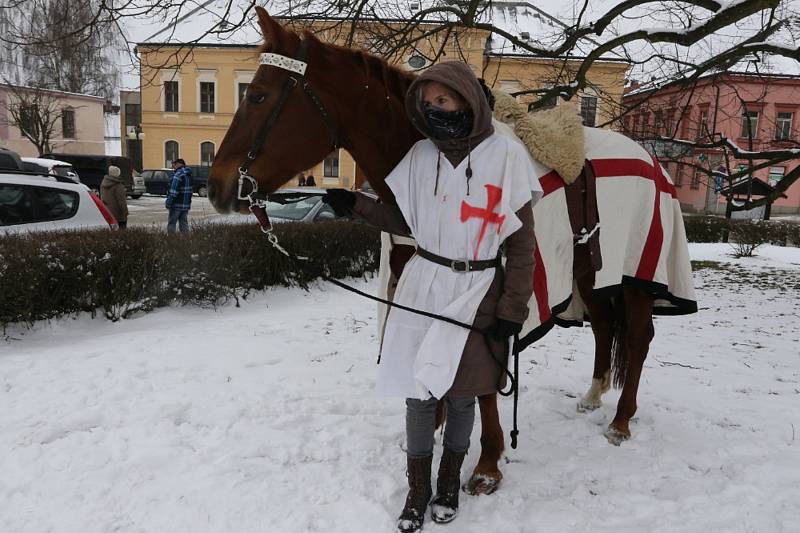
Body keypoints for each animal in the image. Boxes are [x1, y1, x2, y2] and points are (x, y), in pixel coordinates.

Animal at [211, 7, 688, 494]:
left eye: (257, 96)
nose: (216, 187)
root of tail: (650, 160)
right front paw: (436, 425)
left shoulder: (493, 302)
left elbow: (484, 382)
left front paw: (488, 462)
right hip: (589, 271)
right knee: (604, 325)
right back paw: (593, 395)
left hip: (636, 272)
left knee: (637, 335)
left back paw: (621, 420)